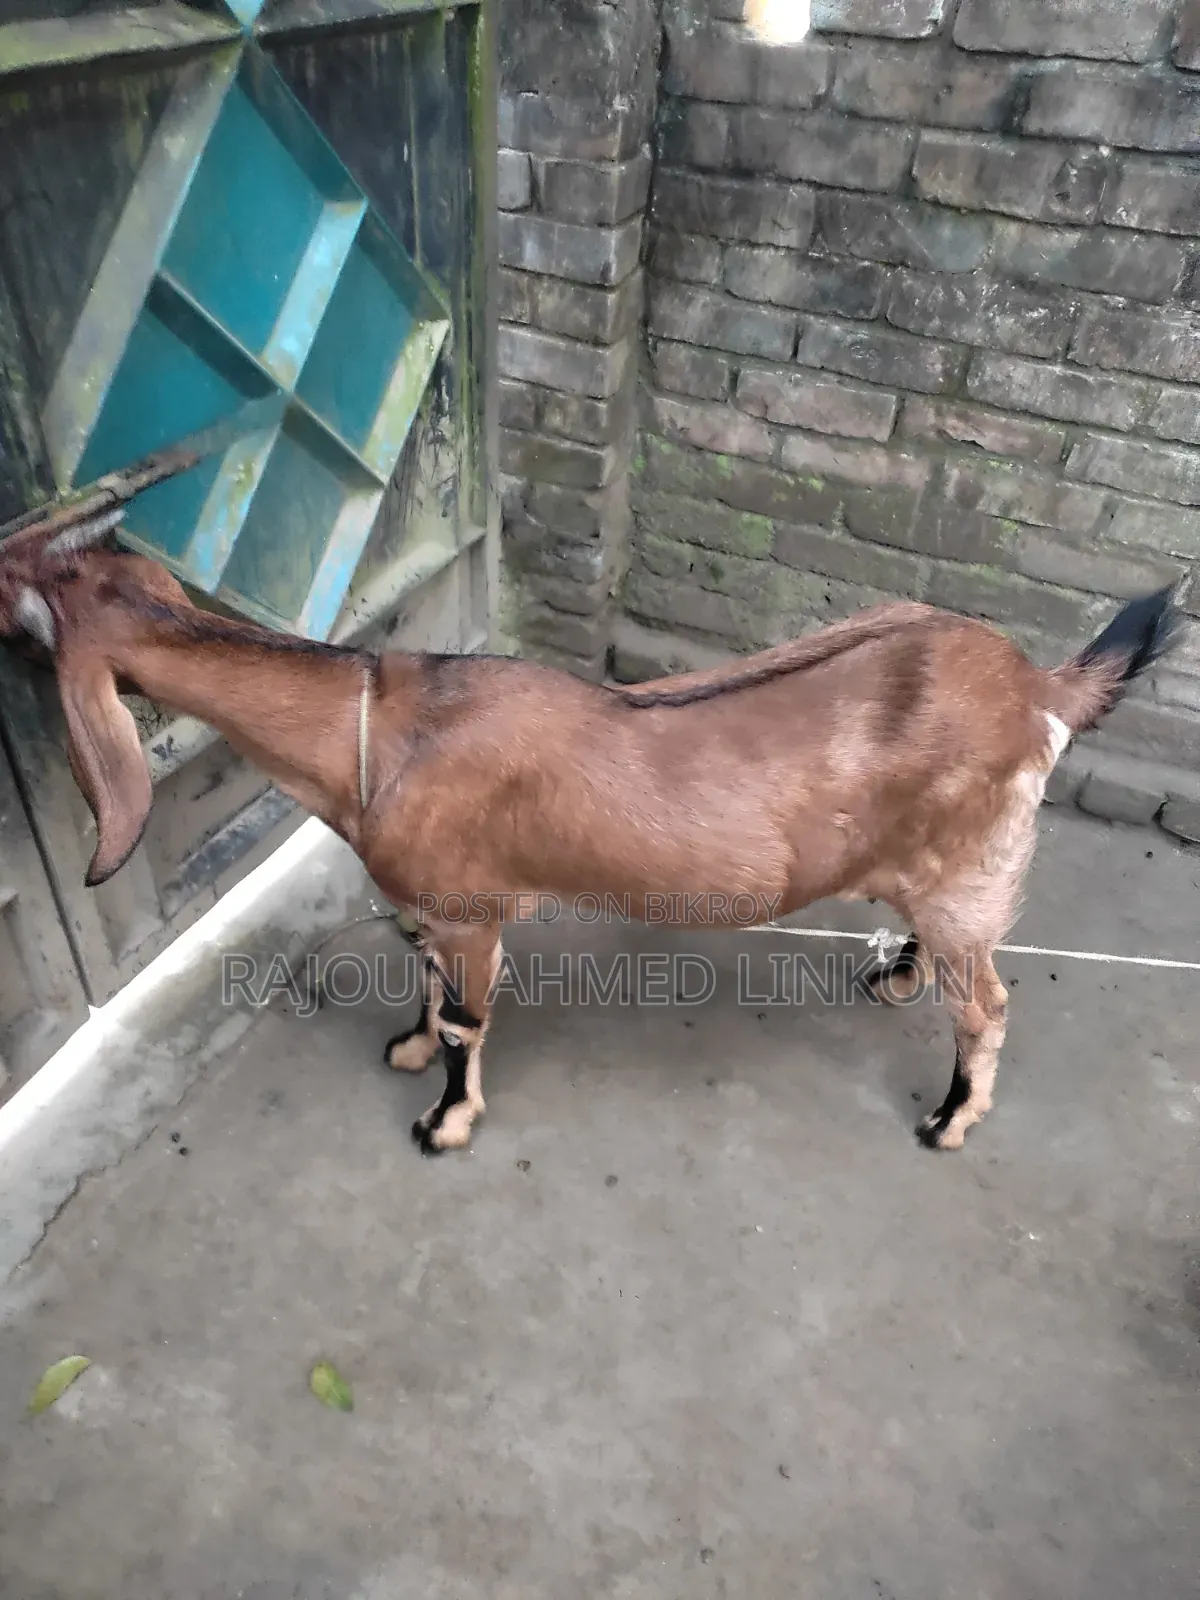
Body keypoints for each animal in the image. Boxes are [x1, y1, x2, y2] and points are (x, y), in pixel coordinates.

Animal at [0, 521, 1181, 1156]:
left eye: (19, 594)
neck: (374, 731)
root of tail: (1039, 688)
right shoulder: (429, 911)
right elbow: (425, 995)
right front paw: (408, 1047)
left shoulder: (472, 912)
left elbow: (470, 1023)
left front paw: (444, 1125)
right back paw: (895, 976)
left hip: (975, 868)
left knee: (989, 1005)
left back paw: (948, 1121)